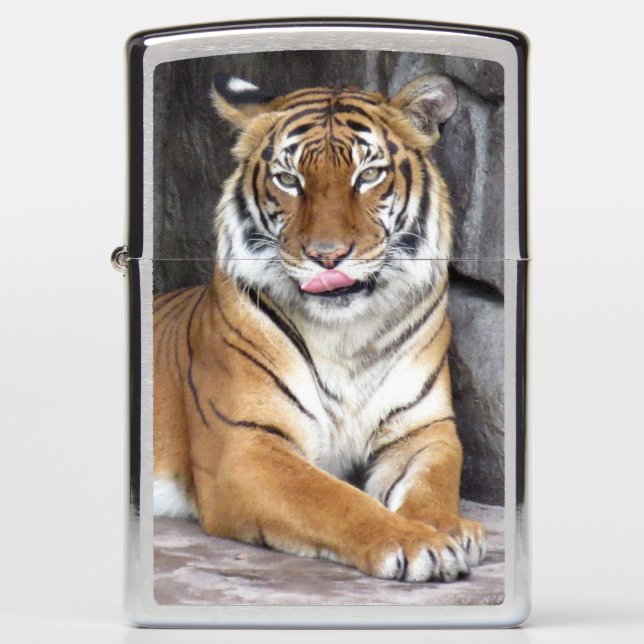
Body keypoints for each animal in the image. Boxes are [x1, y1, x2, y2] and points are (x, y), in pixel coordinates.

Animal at [153, 72, 486, 583]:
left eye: (368, 175)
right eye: (289, 180)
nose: (327, 256)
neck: (345, 334)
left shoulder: (423, 429)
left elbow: (431, 487)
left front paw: (451, 530)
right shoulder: (246, 444)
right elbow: (335, 500)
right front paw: (418, 543)